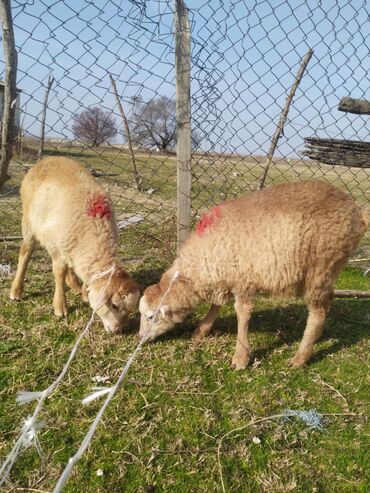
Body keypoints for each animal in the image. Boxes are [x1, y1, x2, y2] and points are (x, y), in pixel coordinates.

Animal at [10, 156, 140, 332]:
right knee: (25, 254)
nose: (118, 331)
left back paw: (75, 285)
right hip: (29, 223)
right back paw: (16, 291)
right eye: (114, 305)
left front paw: (85, 293)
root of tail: (46, 159)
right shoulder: (55, 246)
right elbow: (59, 273)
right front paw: (60, 307)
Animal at [140, 179, 368, 368]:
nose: (140, 338)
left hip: (321, 265)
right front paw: (201, 331)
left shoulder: (244, 280)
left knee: (319, 310)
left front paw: (240, 357)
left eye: (151, 316)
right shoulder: (225, 275)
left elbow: (242, 315)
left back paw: (301, 357)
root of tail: (356, 212)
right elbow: (216, 305)